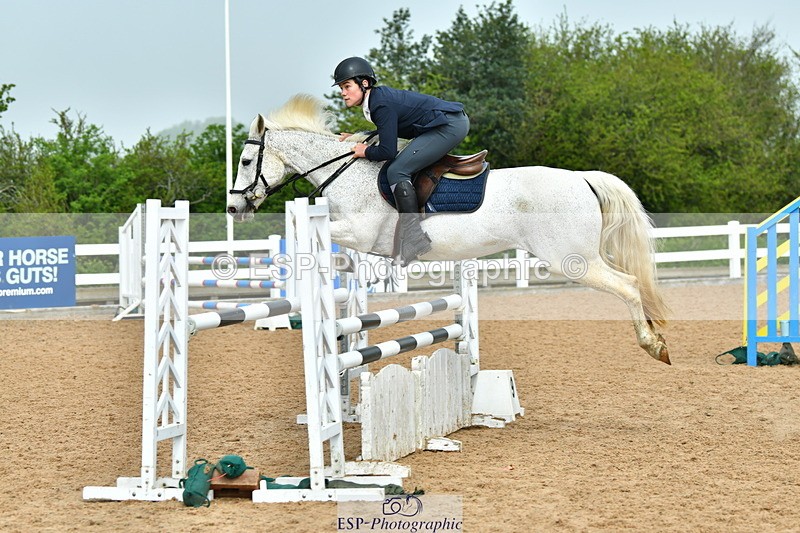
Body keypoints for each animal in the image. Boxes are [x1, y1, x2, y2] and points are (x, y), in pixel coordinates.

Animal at [227, 94, 671, 364]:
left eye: (246, 161)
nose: (234, 207)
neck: (348, 171)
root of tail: (581, 178)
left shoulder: (358, 230)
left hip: (572, 260)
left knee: (629, 285)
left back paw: (654, 345)